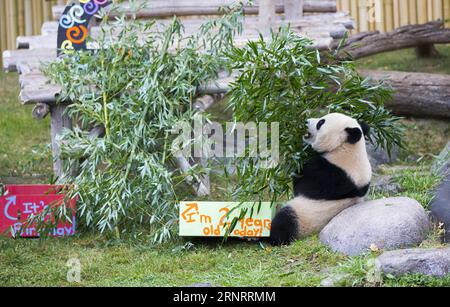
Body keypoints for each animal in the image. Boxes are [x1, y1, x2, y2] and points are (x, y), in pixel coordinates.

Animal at [268, 112, 370, 245]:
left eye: (321, 122)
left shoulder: (333, 175)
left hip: (304, 218)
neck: (345, 149)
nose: (306, 121)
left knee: (285, 221)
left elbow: (303, 185)